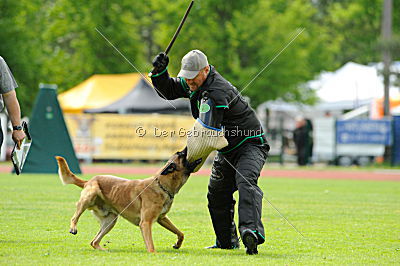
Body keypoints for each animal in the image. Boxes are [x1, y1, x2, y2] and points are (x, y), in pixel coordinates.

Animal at [54, 149, 202, 252]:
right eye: (181, 154)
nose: (187, 147)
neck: (161, 185)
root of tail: (89, 180)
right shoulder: (146, 223)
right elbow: (151, 246)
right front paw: (154, 254)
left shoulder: (162, 218)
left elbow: (180, 233)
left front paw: (177, 244)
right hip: (89, 196)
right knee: (75, 217)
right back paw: (73, 227)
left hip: (110, 221)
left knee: (94, 242)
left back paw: (104, 250)